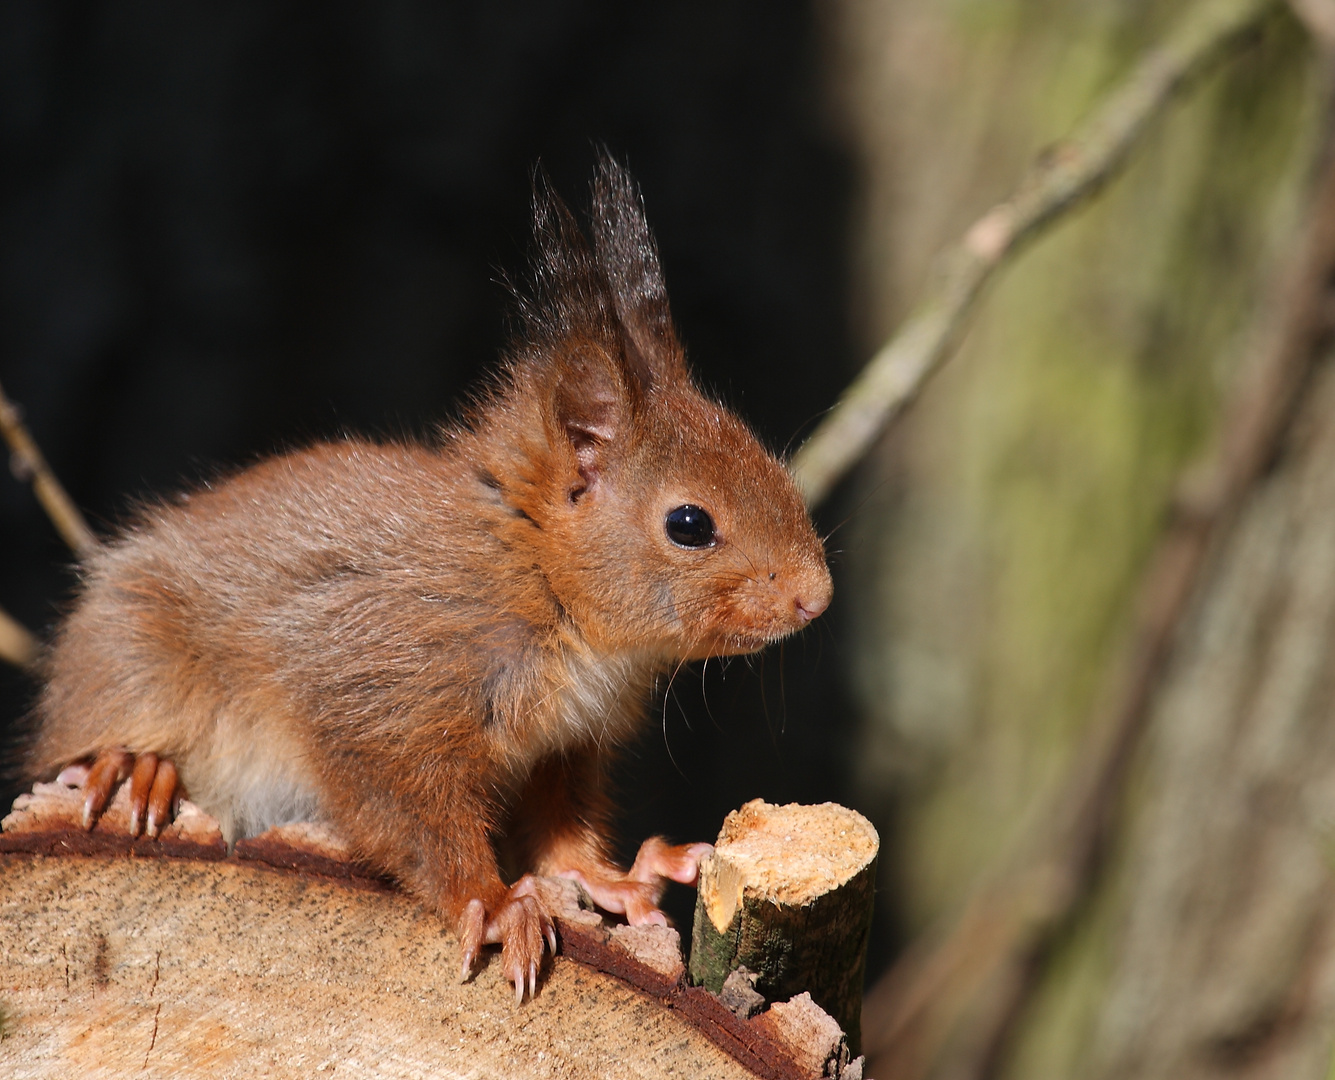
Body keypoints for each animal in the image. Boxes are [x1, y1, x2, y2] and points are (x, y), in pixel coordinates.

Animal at [26, 160, 827, 1003]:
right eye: (689, 524)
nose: (816, 597)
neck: (540, 583)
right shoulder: (382, 696)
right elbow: (412, 820)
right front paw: (497, 904)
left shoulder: (563, 745)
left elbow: (559, 828)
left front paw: (611, 879)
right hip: (131, 661)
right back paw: (135, 766)